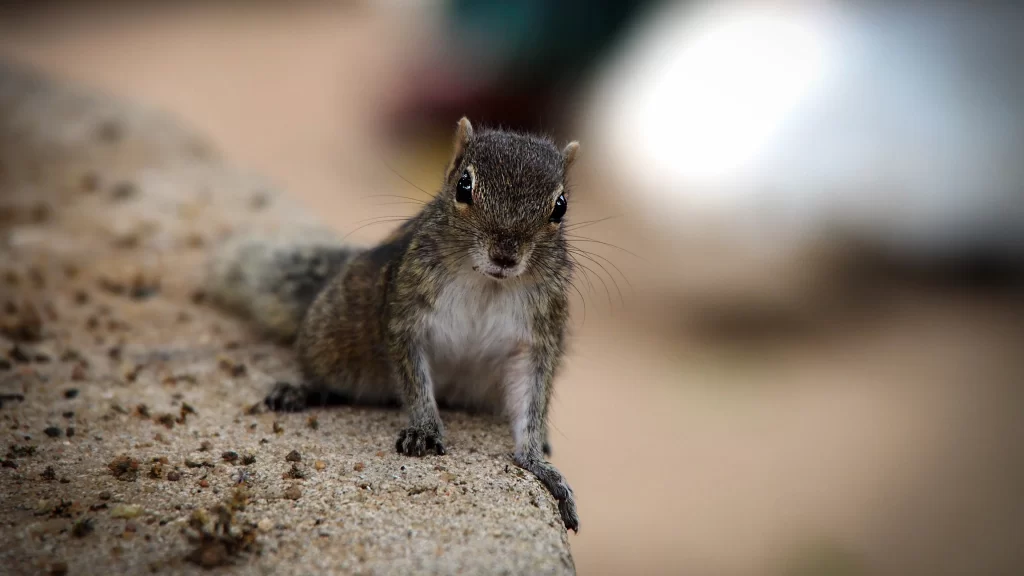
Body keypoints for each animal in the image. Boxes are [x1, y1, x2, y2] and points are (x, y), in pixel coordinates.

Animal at [206, 118, 581, 531]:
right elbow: (415, 380)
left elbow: (531, 401)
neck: (489, 283)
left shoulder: (537, 338)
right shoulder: (406, 315)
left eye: (560, 206)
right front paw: (425, 430)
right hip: (334, 341)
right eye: (463, 186)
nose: (505, 254)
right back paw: (302, 390)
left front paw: (538, 463)